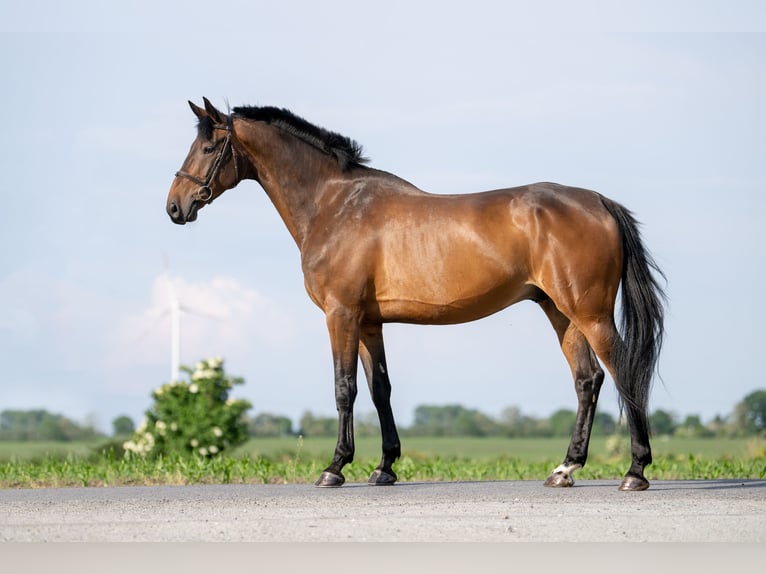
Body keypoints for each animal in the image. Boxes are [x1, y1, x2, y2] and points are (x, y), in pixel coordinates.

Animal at [166, 97, 664, 492]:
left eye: (208, 147)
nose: (175, 206)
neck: (335, 205)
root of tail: (598, 201)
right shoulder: (369, 321)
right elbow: (380, 389)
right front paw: (384, 467)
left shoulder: (340, 315)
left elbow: (344, 388)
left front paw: (334, 467)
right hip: (561, 313)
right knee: (588, 380)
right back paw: (565, 469)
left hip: (590, 313)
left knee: (622, 371)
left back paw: (635, 471)